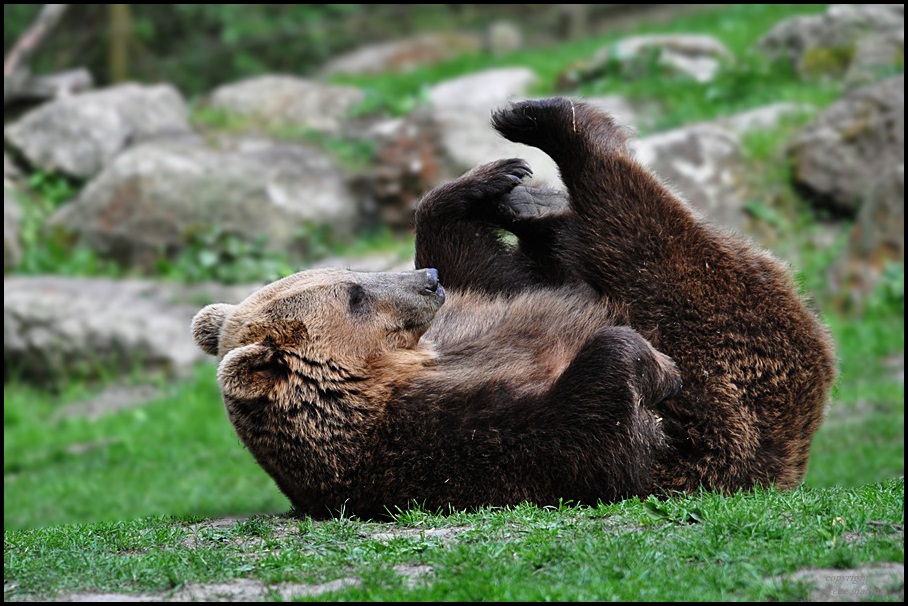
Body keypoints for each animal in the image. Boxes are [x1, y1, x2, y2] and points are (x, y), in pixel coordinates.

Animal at [190, 97, 836, 520]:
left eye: (352, 275)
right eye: (354, 295)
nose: (427, 282)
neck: (398, 370)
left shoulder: (476, 313)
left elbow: (488, 270)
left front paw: (488, 184)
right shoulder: (436, 440)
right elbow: (588, 436)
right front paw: (649, 364)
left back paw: (528, 190)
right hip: (743, 361)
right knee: (651, 246)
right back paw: (553, 124)